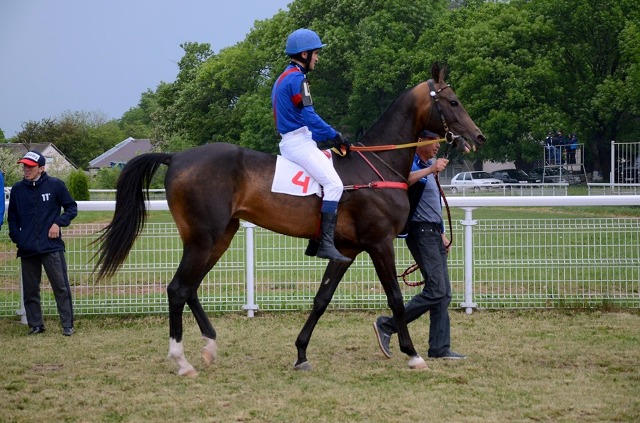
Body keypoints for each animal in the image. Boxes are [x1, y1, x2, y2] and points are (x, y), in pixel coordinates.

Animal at [95, 63, 485, 376]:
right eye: (453, 101)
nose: (477, 136)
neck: (374, 165)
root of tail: (175, 156)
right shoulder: (379, 244)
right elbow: (395, 298)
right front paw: (413, 354)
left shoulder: (346, 250)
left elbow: (321, 300)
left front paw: (301, 353)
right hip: (203, 239)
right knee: (177, 289)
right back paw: (182, 361)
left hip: (219, 238)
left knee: (189, 288)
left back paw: (209, 345)